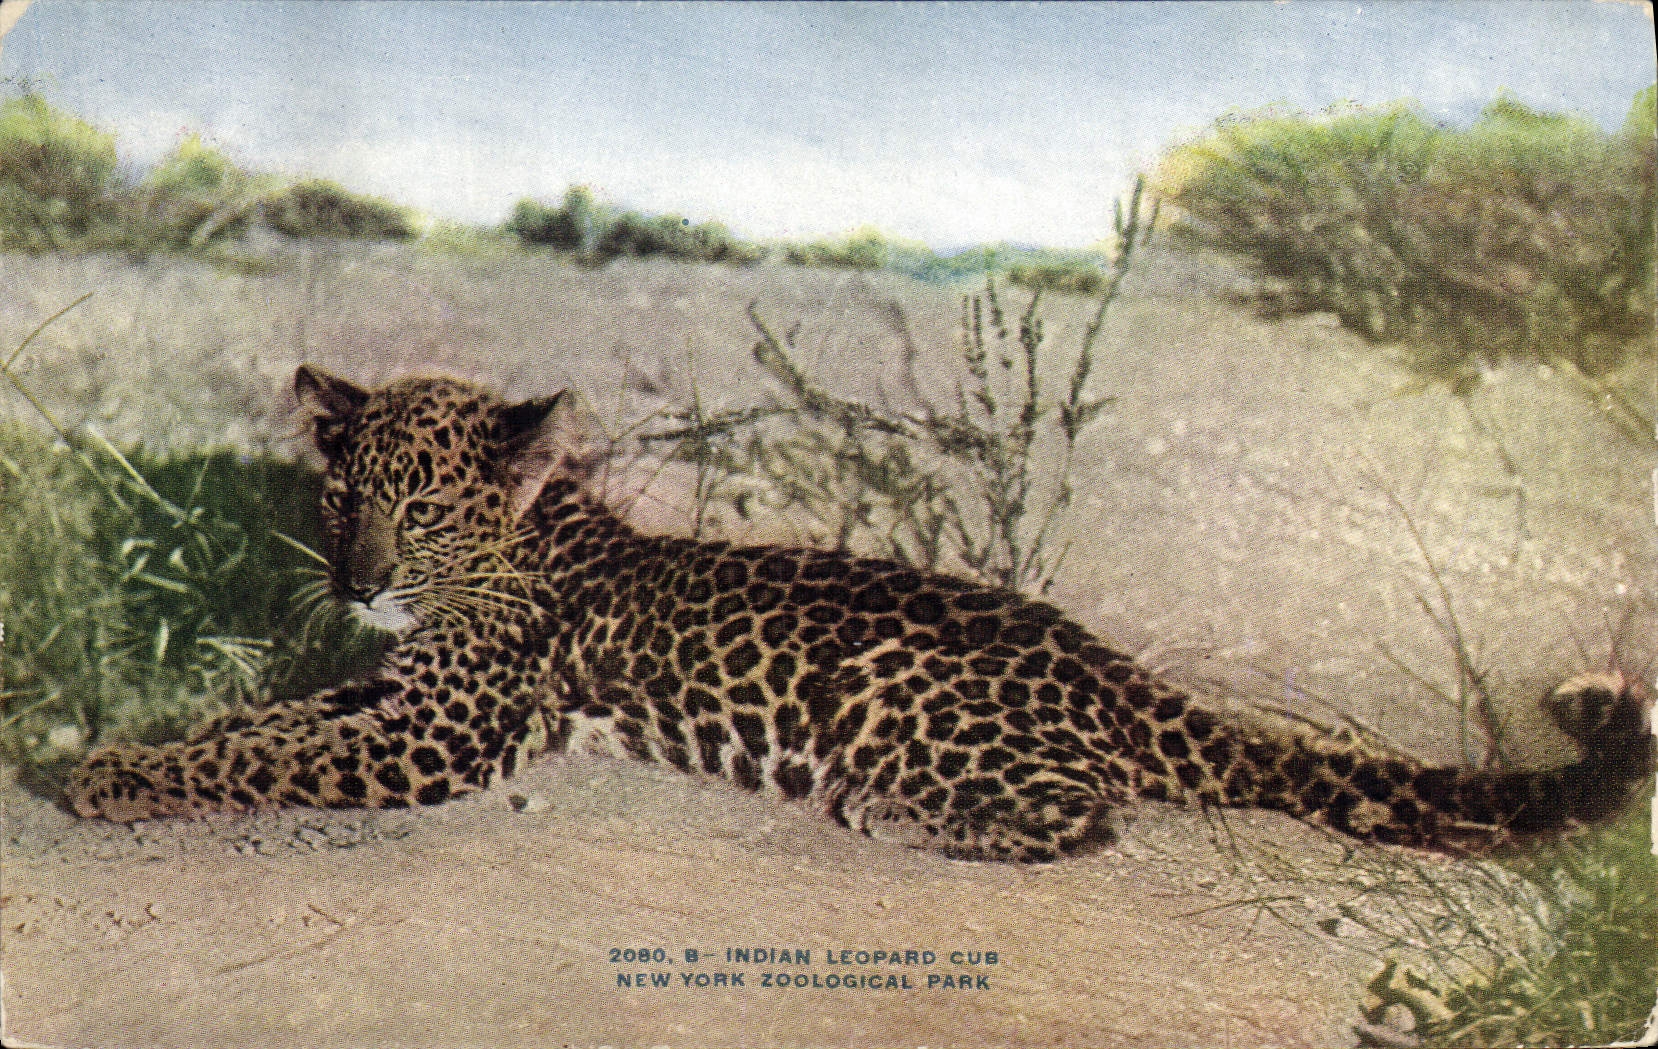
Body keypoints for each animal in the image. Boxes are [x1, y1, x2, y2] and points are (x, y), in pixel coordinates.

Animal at [68, 366, 1656, 862]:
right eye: (342, 498)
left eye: (429, 508)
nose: (357, 579)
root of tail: (1104, 664)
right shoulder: (386, 697)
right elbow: (258, 720)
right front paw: (120, 747)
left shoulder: (433, 736)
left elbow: (263, 754)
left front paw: (112, 780)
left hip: (901, 694)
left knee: (1083, 812)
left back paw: (891, 811)